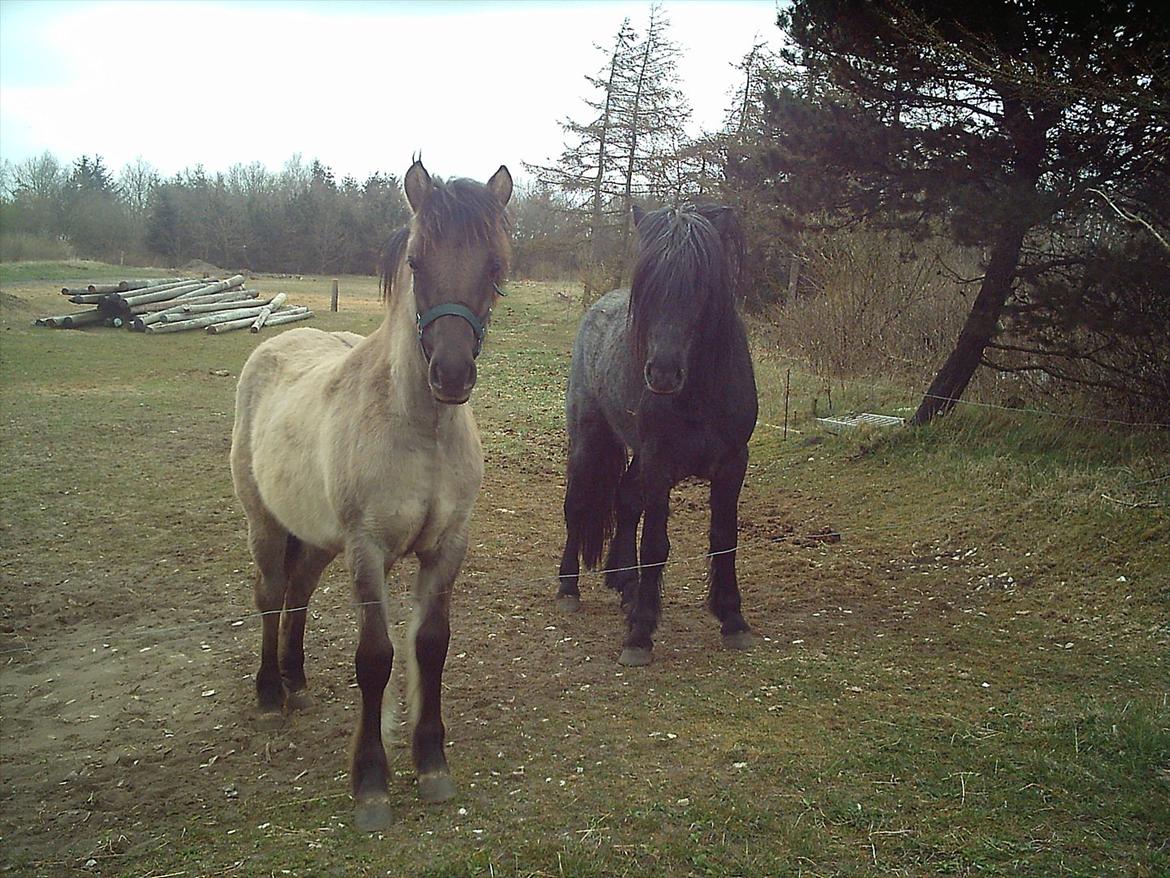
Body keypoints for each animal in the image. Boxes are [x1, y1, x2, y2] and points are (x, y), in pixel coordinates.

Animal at [556, 201, 758, 664]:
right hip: (588, 439)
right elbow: (655, 544)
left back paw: (626, 585)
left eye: (701, 285)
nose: (663, 372)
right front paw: (640, 635)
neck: (698, 393)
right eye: (646, 285)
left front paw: (732, 620)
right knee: (577, 505)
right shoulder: (659, 463)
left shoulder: (732, 463)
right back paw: (569, 587)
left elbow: (724, 538)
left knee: (626, 501)